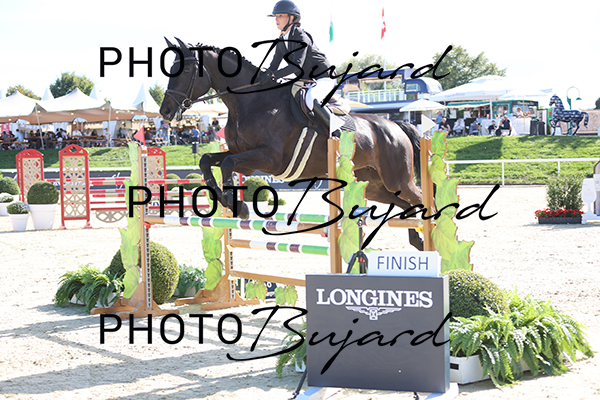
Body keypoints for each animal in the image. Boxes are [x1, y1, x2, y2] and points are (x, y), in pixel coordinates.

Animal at [160, 39, 425, 250]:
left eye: (185, 70)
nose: (165, 111)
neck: (251, 103)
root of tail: (396, 125)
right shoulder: (245, 159)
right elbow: (209, 160)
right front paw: (227, 199)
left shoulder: (270, 158)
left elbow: (227, 163)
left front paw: (237, 204)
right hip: (374, 185)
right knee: (405, 205)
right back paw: (417, 239)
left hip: (396, 178)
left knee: (419, 198)